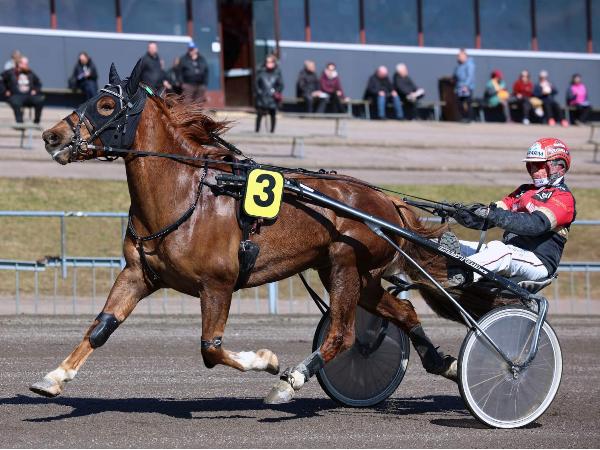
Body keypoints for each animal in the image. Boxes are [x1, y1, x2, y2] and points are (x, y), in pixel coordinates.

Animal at [33, 60, 511, 403]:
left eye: (106, 106)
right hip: (357, 274)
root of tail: (384, 200)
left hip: (346, 263)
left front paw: (266, 361)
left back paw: (292, 379)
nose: (50, 136)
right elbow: (101, 327)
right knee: (404, 312)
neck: (187, 194)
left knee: (343, 332)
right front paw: (53, 377)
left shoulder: (218, 284)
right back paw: (444, 362)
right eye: (90, 96)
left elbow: (211, 350)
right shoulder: (138, 274)